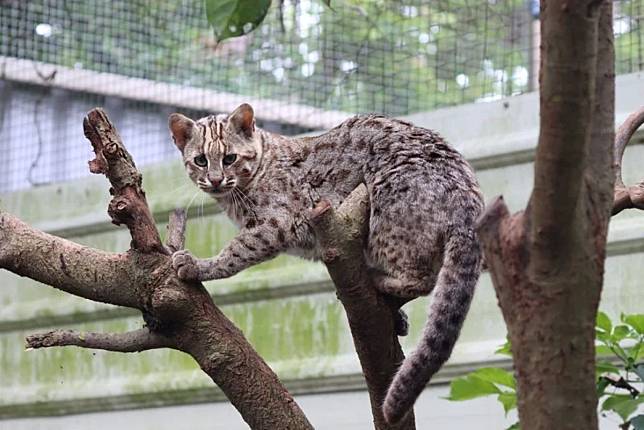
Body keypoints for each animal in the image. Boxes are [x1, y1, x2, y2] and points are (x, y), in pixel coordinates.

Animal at [170, 103, 484, 424]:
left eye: (230, 158)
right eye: (200, 160)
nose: (215, 179)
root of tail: (468, 201)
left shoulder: (273, 225)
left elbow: (234, 253)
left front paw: (197, 265)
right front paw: (399, 318)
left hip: (387, 216)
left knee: (421, 280)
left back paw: (380, 280)